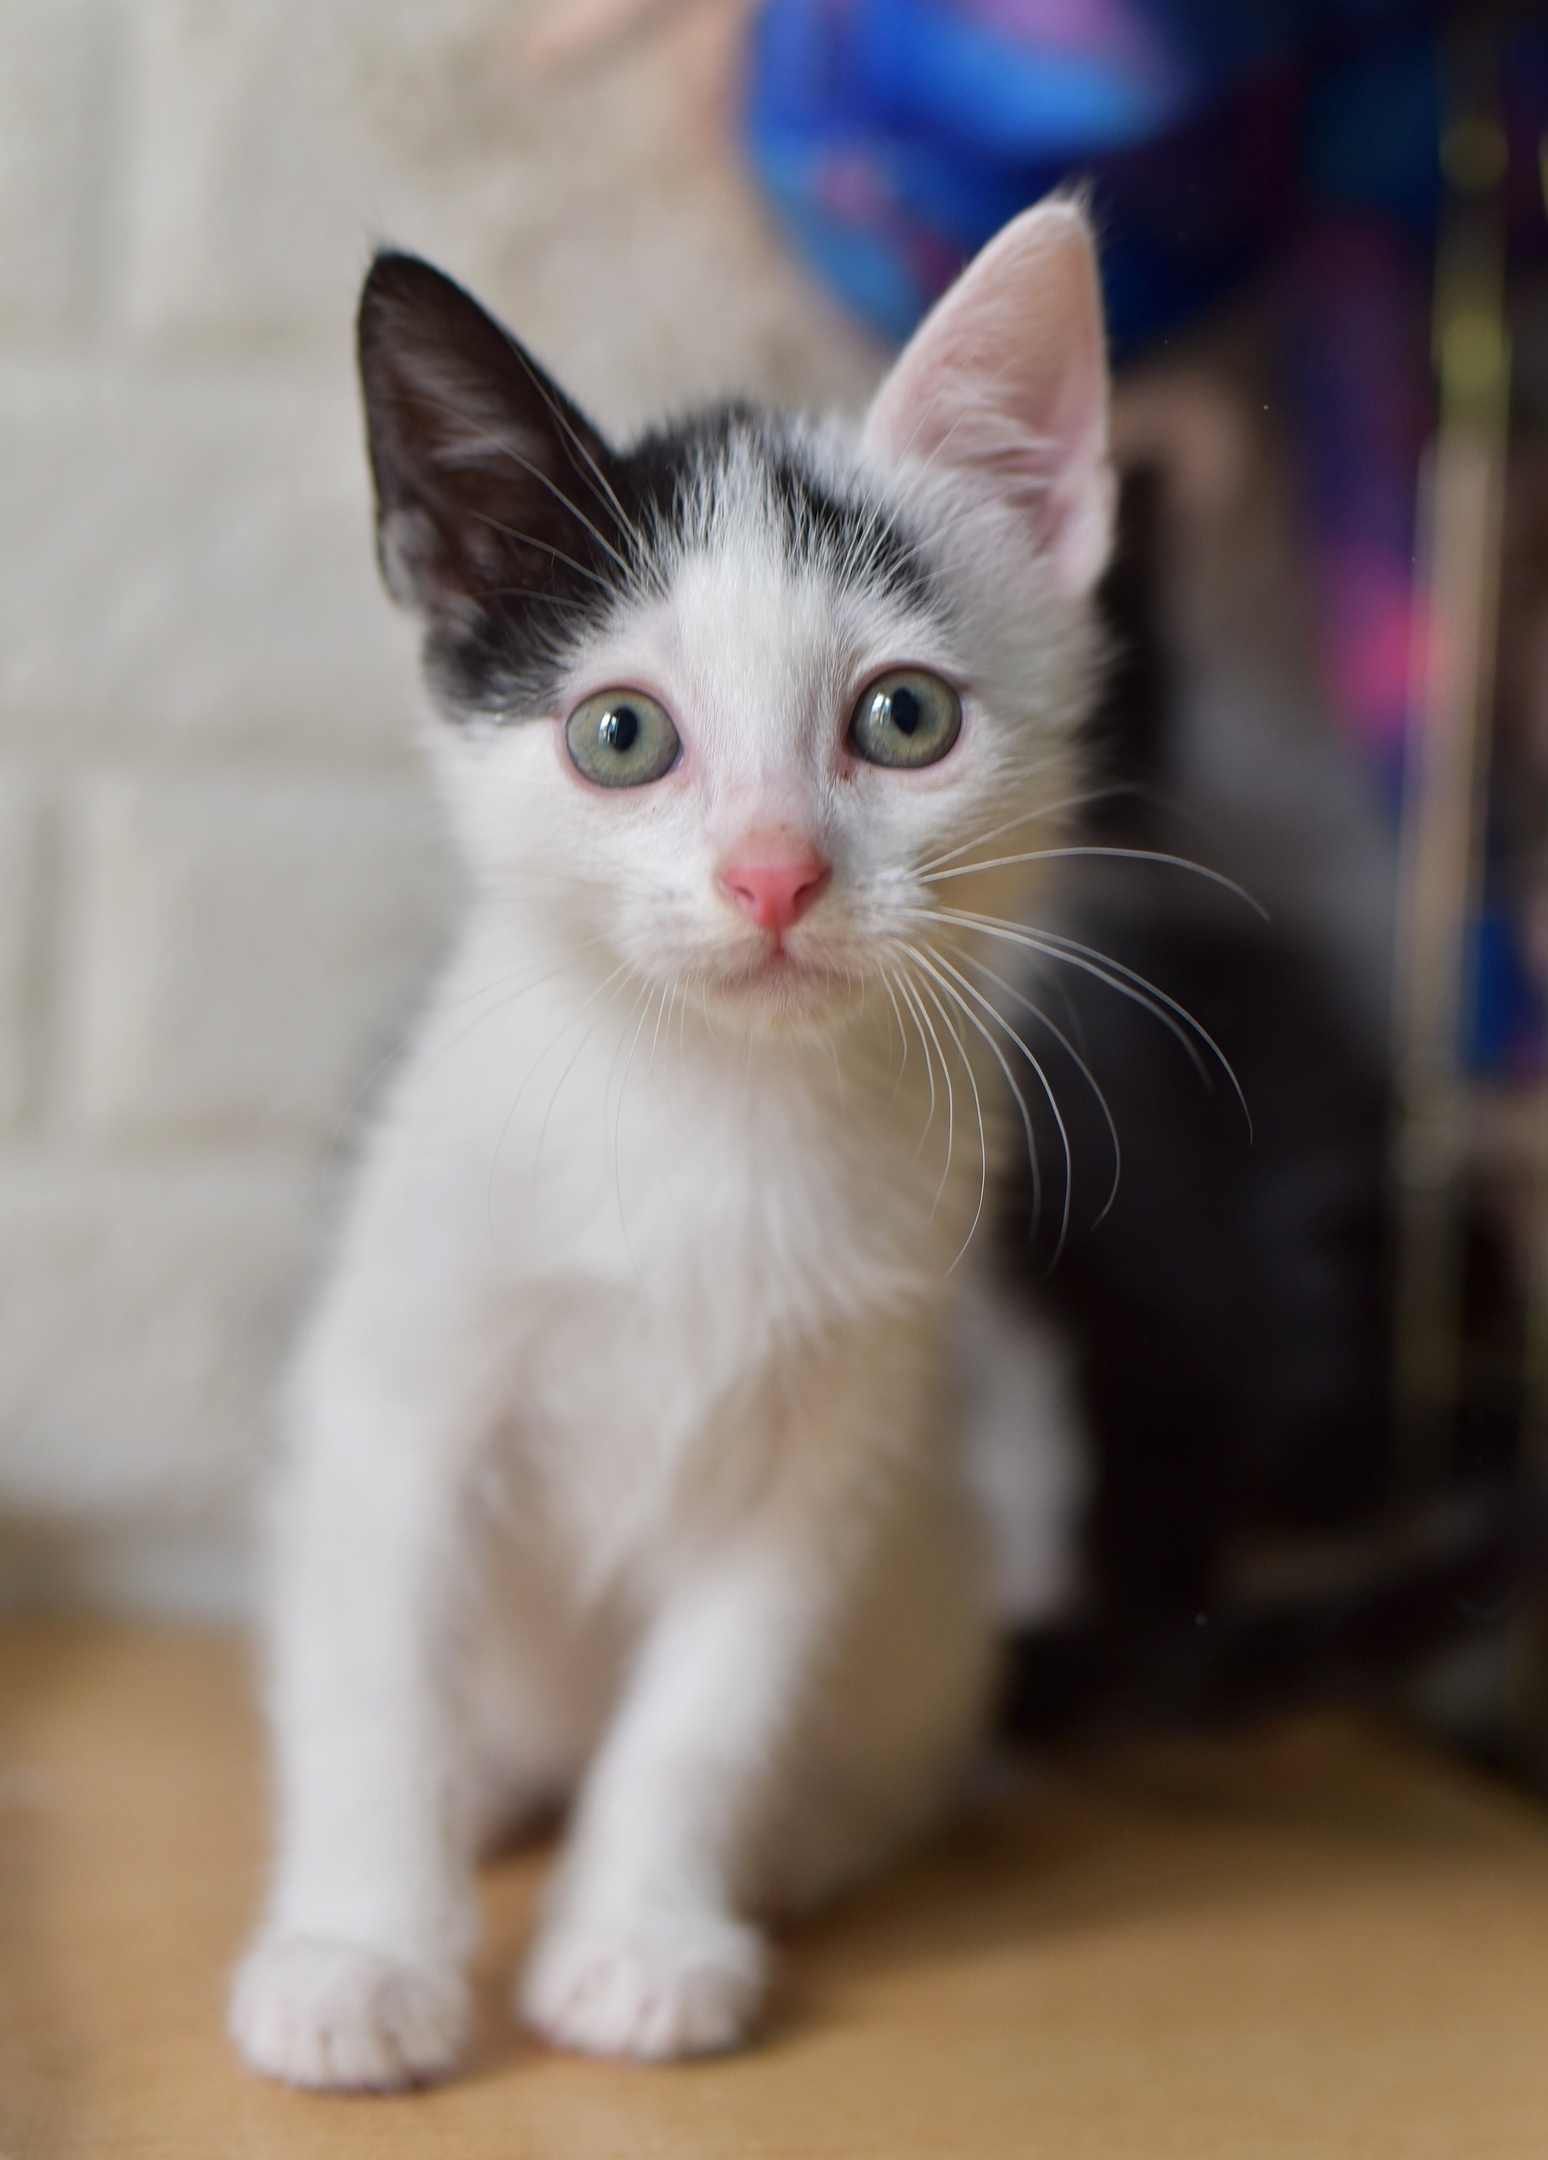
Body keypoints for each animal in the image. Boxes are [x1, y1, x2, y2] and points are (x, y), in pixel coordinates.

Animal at [226, 203, 1114, 2090]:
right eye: (618, 734)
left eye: (904, 719)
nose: (773, 874)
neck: (709, 1108)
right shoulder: (392, 1404)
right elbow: (379, 1689)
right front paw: (359, 1956)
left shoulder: (831, 1460)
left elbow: (708, 1716)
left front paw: (635, 1942)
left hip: (932, 1574)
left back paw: (796, 1847)